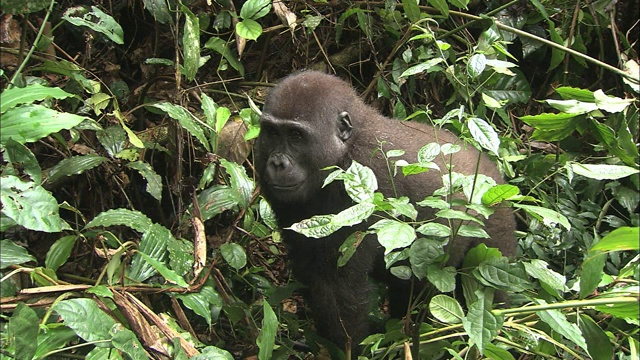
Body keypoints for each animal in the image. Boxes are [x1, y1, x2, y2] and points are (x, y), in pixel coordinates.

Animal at [254, 70, 516, 352]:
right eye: (272, 132)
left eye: (296, 136)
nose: (277, 163)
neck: (347, 146)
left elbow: (339, 288)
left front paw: (347, 351)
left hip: (496, 214)